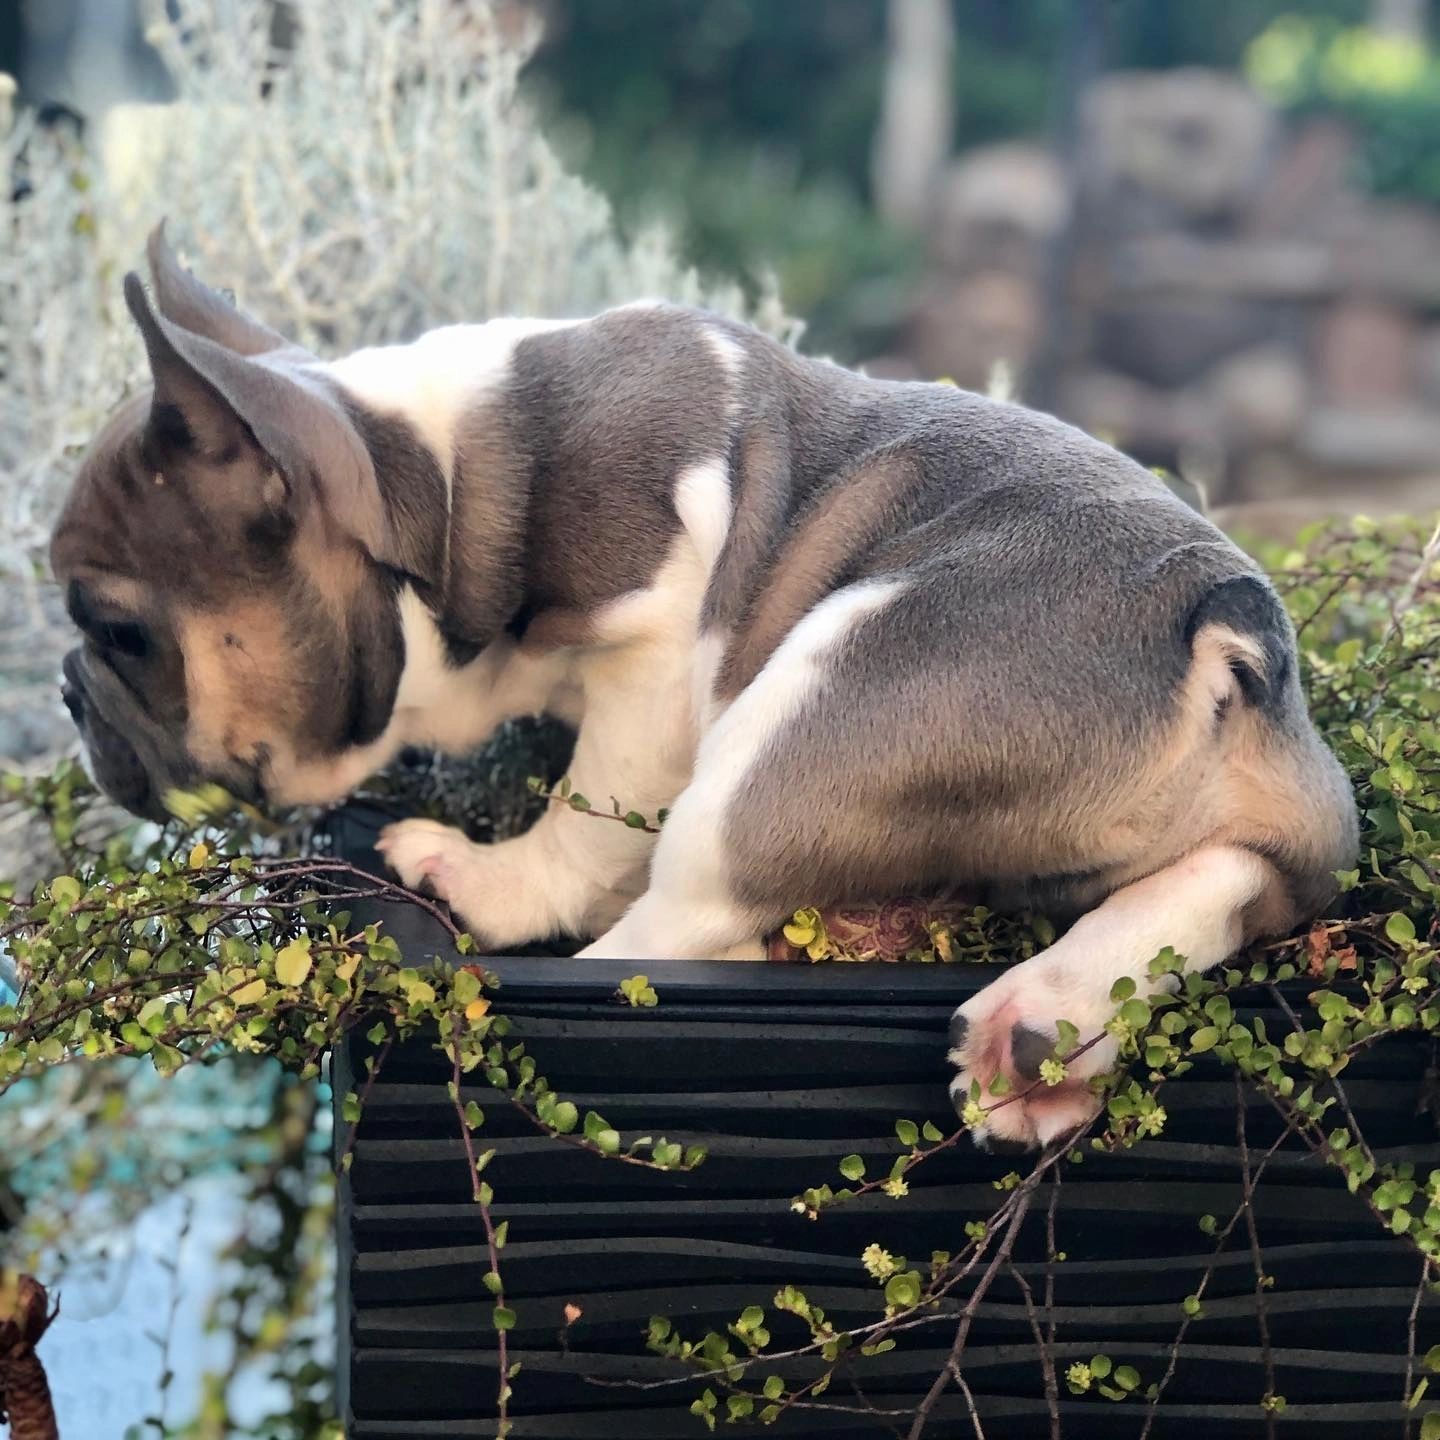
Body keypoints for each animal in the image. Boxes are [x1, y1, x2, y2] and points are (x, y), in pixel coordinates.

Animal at [50, 227, 1353, 1146]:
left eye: (117, 632)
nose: (65, 686)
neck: (445, 481)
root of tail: (1217, 625)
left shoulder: (651, 649)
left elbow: (587, 819)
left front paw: (503, 879)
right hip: (1272, 826)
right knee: (1239, 877)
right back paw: (1045, 1030)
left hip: (817, 704)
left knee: (685, 917)